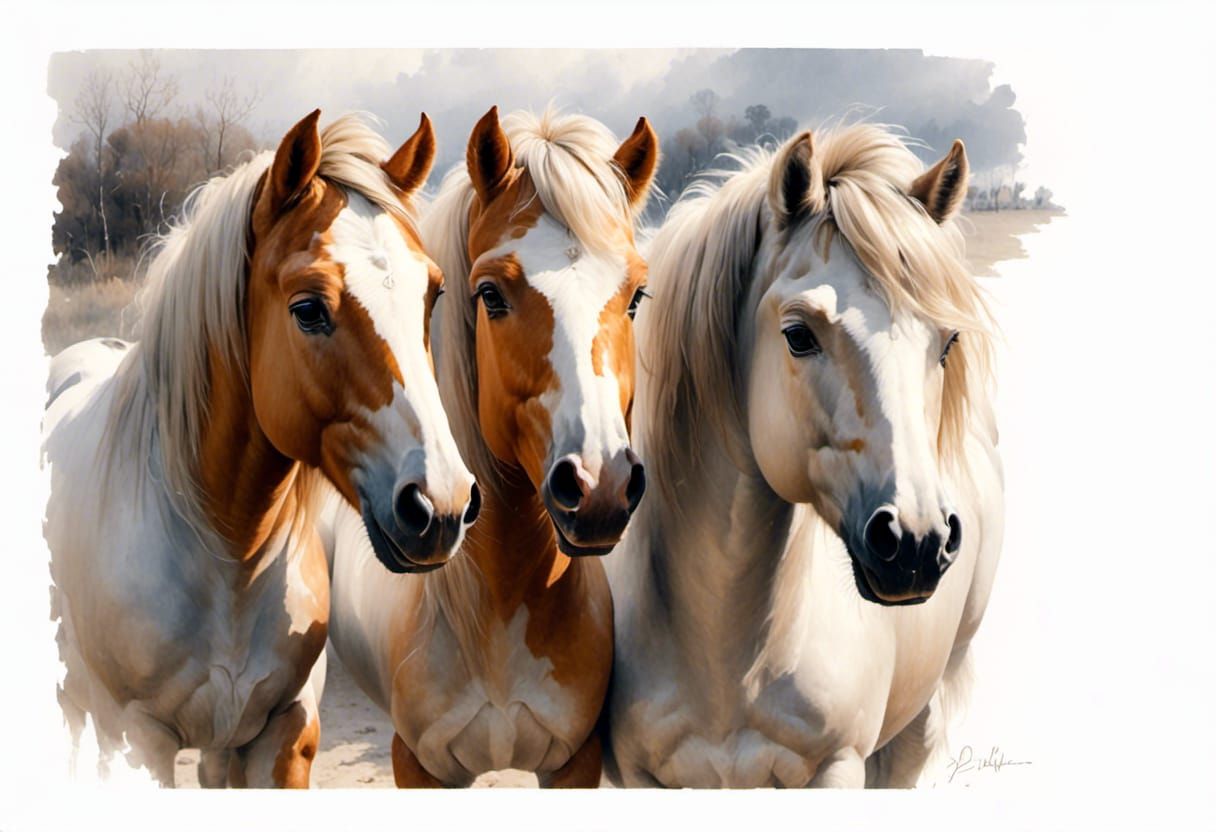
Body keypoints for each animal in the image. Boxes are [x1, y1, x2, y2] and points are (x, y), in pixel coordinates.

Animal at [43, 110, 478, 787]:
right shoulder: (139, 742)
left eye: (432, 294)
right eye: (307, 308)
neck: (225, 559)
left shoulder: (285, 732)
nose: (441, 505)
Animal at [325, 106, 659, 787]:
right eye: (491, 295)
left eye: (636, 296)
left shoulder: (575, 761)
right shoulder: (418, 765)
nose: (600, 484)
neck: (498, 616)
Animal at [605, 123, 1004, 788]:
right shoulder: (638, 776)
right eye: (798, 335)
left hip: (920, 718)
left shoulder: (837, 768)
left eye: (946, 342)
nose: (917, 541)